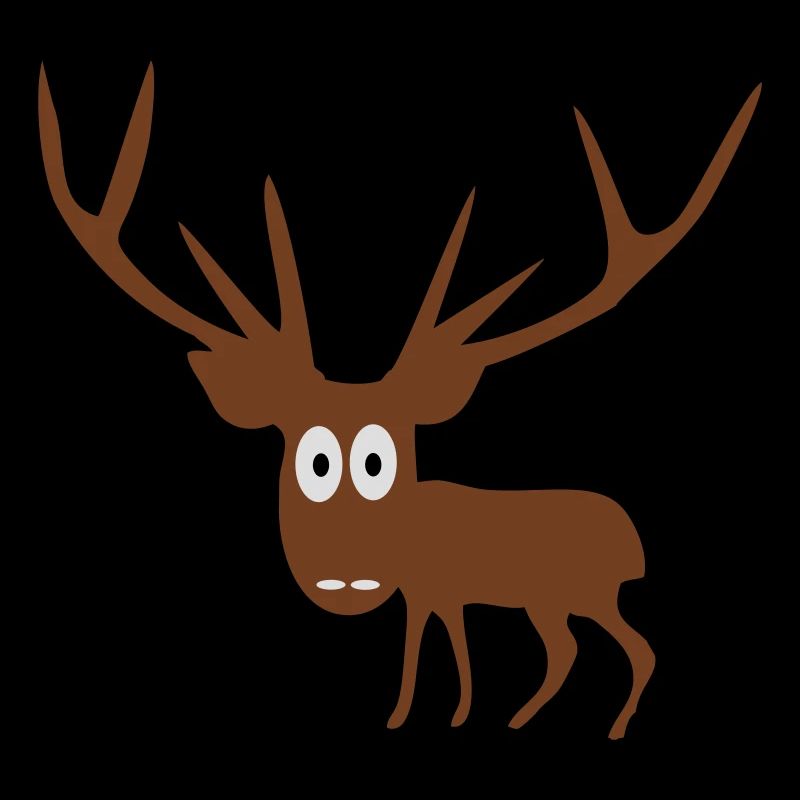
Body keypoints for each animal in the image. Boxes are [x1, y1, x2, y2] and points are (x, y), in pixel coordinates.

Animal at [38, 63, 760, 739]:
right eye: (313, 459)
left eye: (378, 460)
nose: (345, 578)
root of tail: (634, 544)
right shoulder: (436, 594)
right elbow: (442, 646)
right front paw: (442, 711)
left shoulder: (441, 588)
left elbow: (438, 649)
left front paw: (423, 713)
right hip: (555, 600)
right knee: (571, 651)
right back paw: (533, 716)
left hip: (581, 592)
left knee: (633, 649)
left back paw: (602, 722)